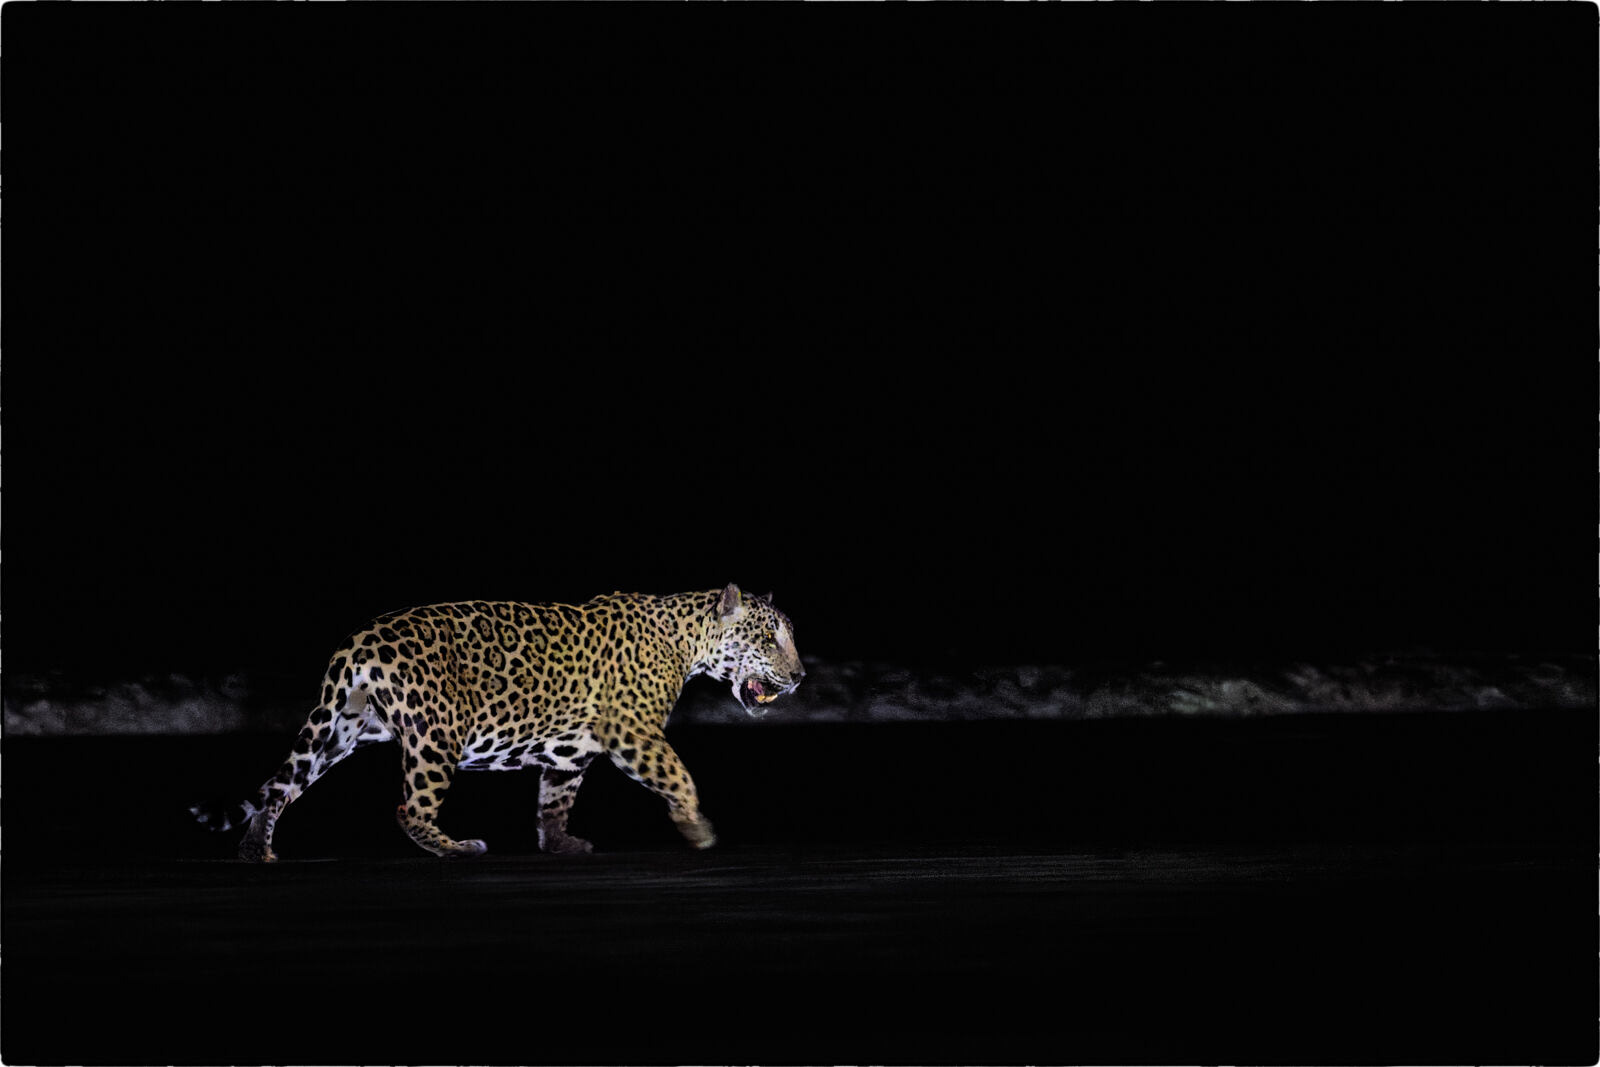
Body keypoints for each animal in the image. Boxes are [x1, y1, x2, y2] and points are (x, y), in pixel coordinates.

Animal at [191, 584, 804, 861]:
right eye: (770, 636)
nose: (799, 676)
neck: (689, 639)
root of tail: (359, 642)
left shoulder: (570, 749)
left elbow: (555, 799)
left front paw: (560, 844)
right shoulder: (633, 730)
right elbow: (679, 775)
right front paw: (698, 829)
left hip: (338, 730)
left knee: (279, 786)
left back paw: (255, 850)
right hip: (437, 733)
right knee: (408, 808)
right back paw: (456, 847)